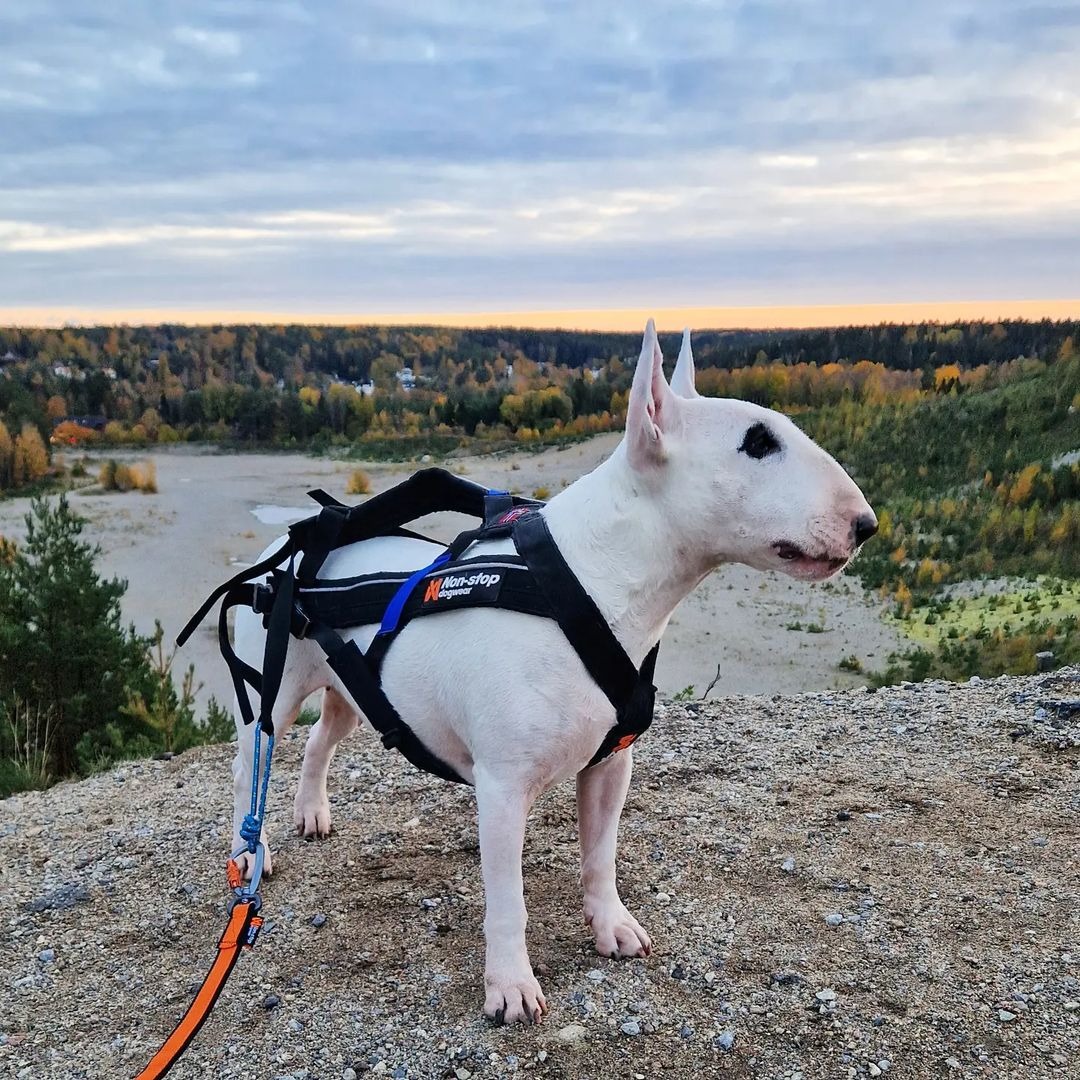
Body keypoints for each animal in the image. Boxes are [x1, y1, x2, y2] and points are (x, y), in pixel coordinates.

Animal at [230, 317, 876, 1019]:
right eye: (758, 443)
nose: (866, 524)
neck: (588, 583)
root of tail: (288, 541)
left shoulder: (611, 764)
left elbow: (600, 855)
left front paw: (611, 926)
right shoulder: (502, 787)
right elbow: (507, 897)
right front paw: (511, 985)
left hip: (351, 687)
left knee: (321, 740)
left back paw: (312, 812)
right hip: (271, 696)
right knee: (248, 771)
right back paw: (251, 853)